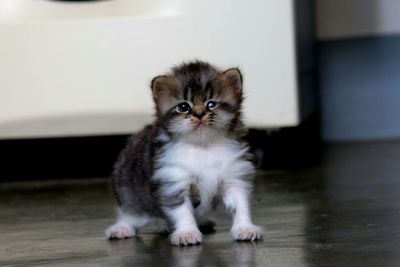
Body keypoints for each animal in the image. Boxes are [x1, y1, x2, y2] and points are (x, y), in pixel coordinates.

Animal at [105, 60, 262, 247]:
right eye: (183, 107)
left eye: (211, 104)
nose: (200, 114)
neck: (203, 146)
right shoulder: (173, 180)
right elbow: (182, 210)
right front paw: (187, 233)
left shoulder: (234, 176)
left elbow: (240, 204)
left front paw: (245, 228)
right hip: (128, 189)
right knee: (131, 213)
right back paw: (121, 228)